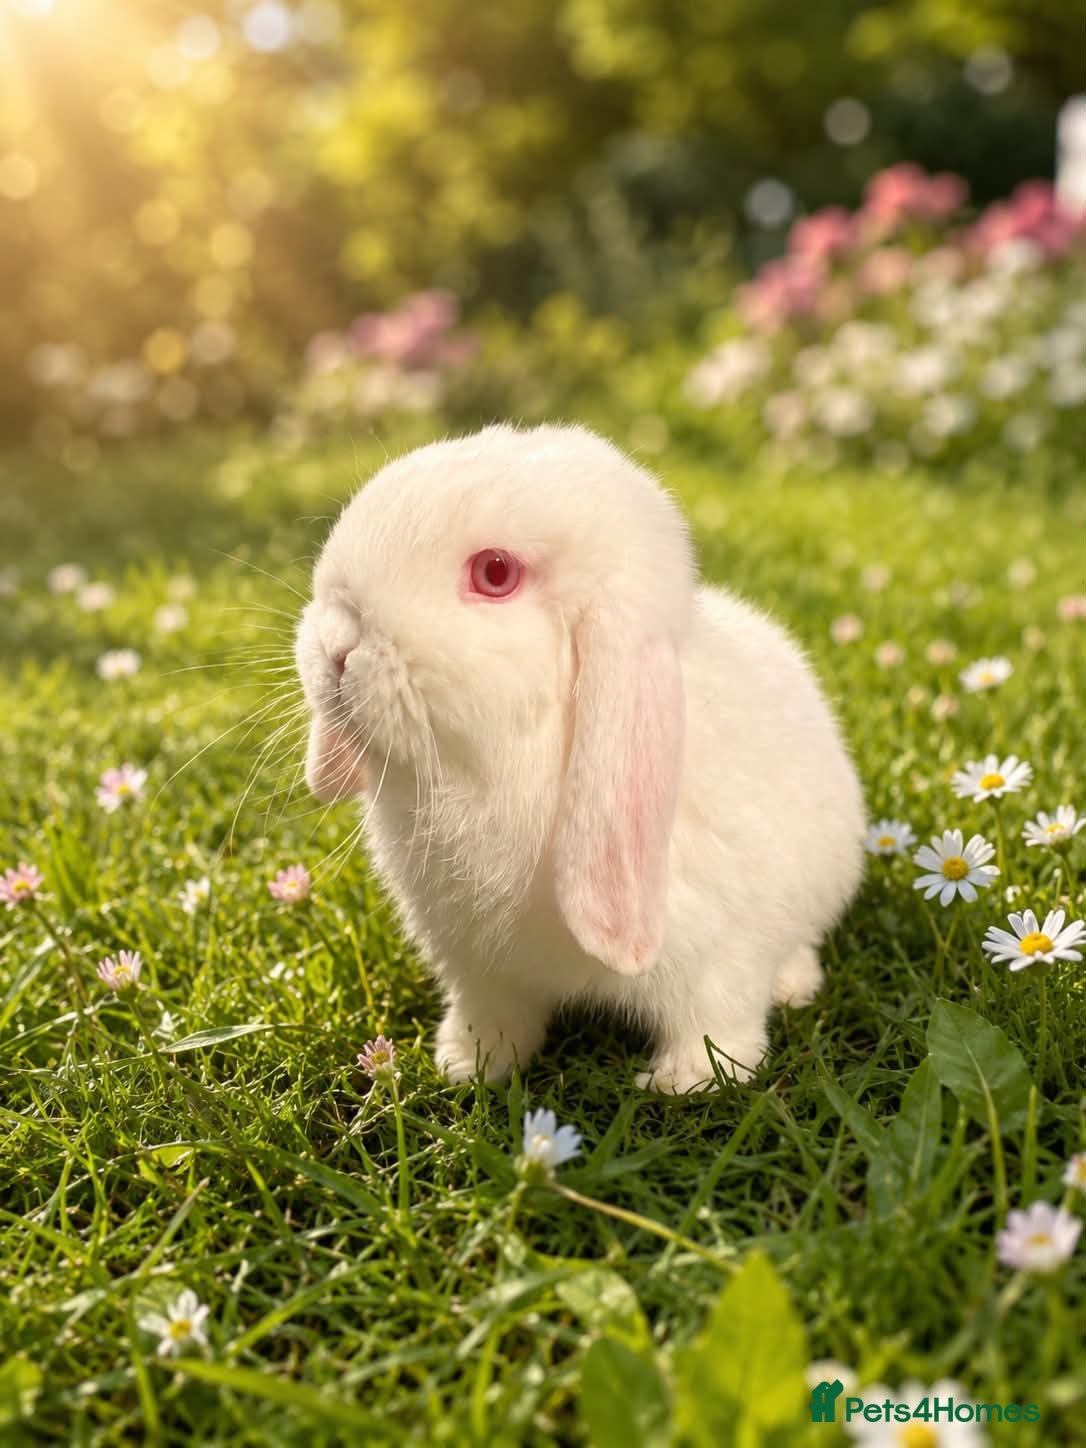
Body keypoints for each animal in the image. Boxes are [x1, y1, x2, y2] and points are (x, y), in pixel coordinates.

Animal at [294, 423, 865, 1092]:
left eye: (495, 573)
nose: (336, 644)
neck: (502, 768)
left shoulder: (722, 959)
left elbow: (715, 1024)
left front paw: (685, 1083)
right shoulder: (479, 967)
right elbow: (493, 1014)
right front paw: (471, 1063)